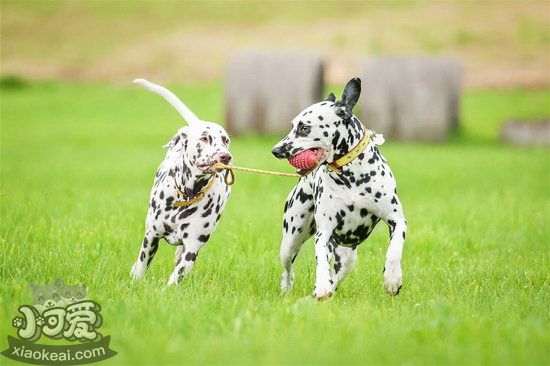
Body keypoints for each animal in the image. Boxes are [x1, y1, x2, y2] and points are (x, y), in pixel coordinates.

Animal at [131, 79, 233, 286]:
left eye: (225, 140)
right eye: (205, 138)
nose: (225, 156)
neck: (186, 195)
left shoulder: (192, 248)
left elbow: (175, 277)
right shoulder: (151, 237)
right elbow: (141, 265)